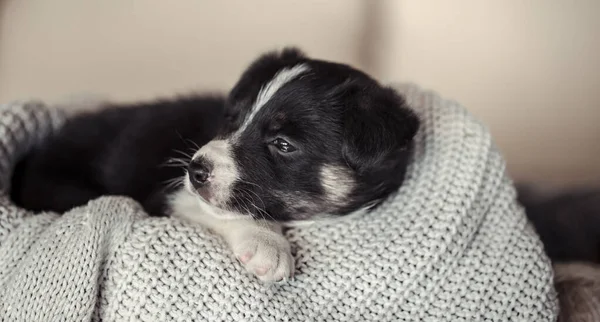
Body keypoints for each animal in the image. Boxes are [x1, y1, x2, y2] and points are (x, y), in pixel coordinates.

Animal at [11, 48, 420, 282]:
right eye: (232, 118)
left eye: (283, 144)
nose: (195, 170)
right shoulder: (171, 195)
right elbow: (231, 212)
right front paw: (267, 246)